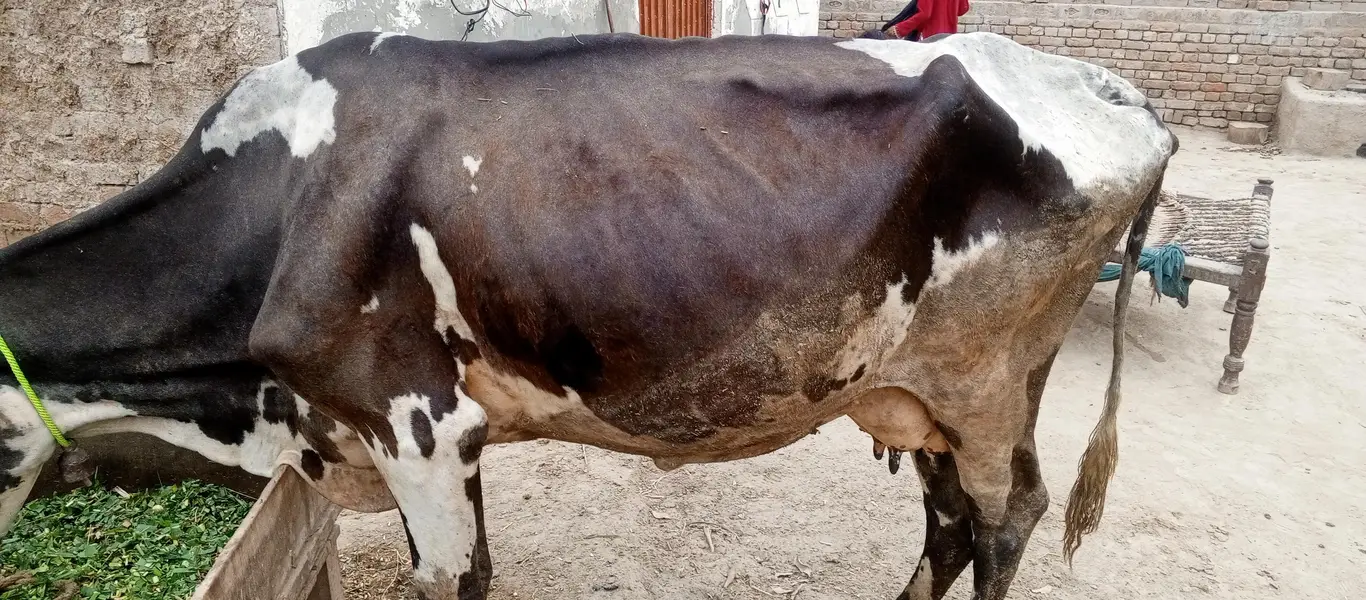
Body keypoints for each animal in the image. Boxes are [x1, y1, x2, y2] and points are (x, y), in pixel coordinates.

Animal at [0, 31, 1176, 600]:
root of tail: (1104, 85)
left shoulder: (411, 419)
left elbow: (447, 580)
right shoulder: (450, 435)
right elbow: (476, 571)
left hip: (988, 382)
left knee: (1004, 521)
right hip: (908, 392)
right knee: (946, 527)